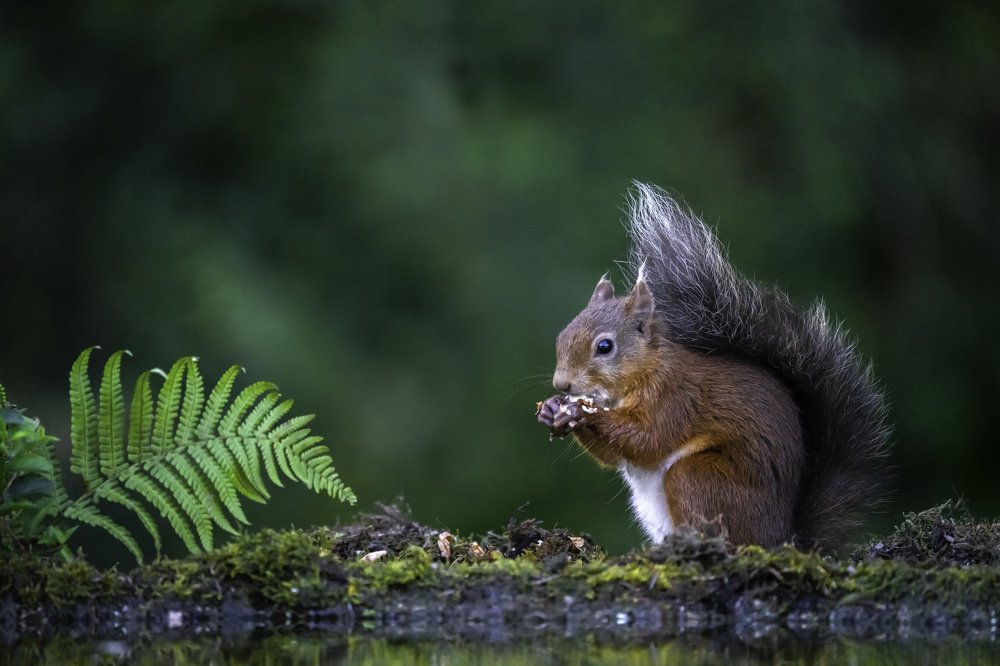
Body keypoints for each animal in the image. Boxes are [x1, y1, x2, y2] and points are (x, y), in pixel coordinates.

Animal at [537, 183, 891, 551]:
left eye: (605, 347)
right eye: (562, 335)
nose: (562, 385)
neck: (639, 376)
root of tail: (783, 539)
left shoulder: (677, 396)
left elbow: (647, 439)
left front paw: (583, 412)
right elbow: (614, 456)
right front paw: (551, 410)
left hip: (699, 478)